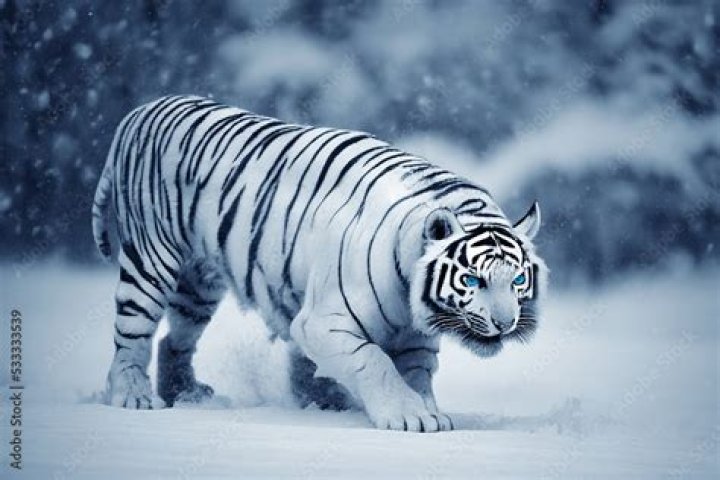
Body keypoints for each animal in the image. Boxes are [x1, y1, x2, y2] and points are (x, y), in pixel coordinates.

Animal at [92, 95, 546, 432]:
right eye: (472, 280)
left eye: (517, 280)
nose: (506, 323)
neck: (410, 305)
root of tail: (139, 111)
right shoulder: (321, 324)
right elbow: (375, 362)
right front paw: (408, 416)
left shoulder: (417, 341)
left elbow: (416, 375)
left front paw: (426, 409)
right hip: (150, 265)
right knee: (132, 338)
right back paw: (135, 397)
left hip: (198, 285)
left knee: (174, 340)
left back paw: (187, 395)